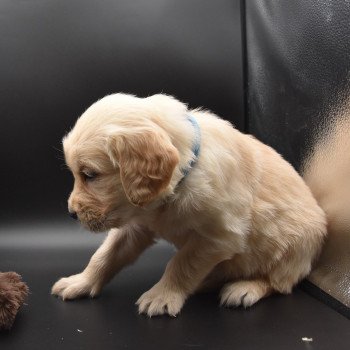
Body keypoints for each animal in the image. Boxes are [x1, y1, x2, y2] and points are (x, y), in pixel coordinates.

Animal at [50, 93, 326, 318]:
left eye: (90, 175)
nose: (71, 213)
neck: (183, 177)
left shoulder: (219, 236)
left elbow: (182, 263)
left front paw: (161, 296)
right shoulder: (137, 226)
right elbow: (105, 255)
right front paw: (80, 282)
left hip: (295, 248)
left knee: (278, 282)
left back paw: (245, 288)